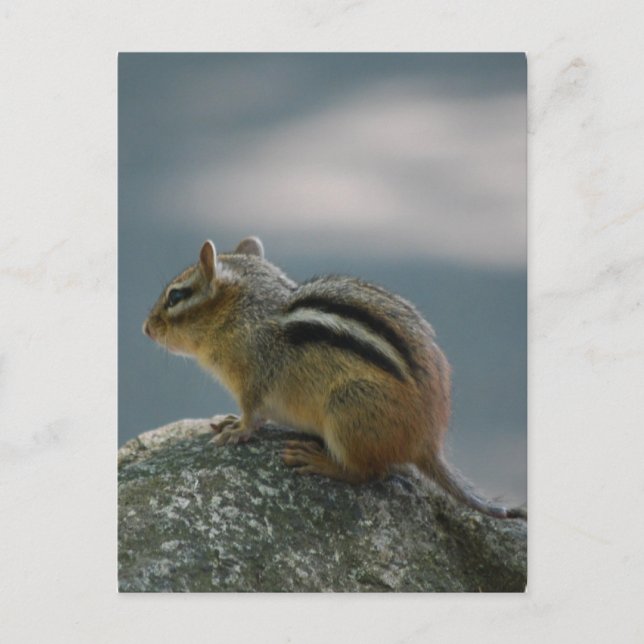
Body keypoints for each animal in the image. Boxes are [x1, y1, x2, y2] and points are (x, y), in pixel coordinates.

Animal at [143, 236, 526, 520]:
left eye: (176, 295)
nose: (146, 328)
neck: (244, 313)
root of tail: (428, 442)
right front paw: (229, 421)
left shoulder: (252, 380)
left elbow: (253, 414)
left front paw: (238, 430)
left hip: (347, 411)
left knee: (369, 473)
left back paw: (319, 461)